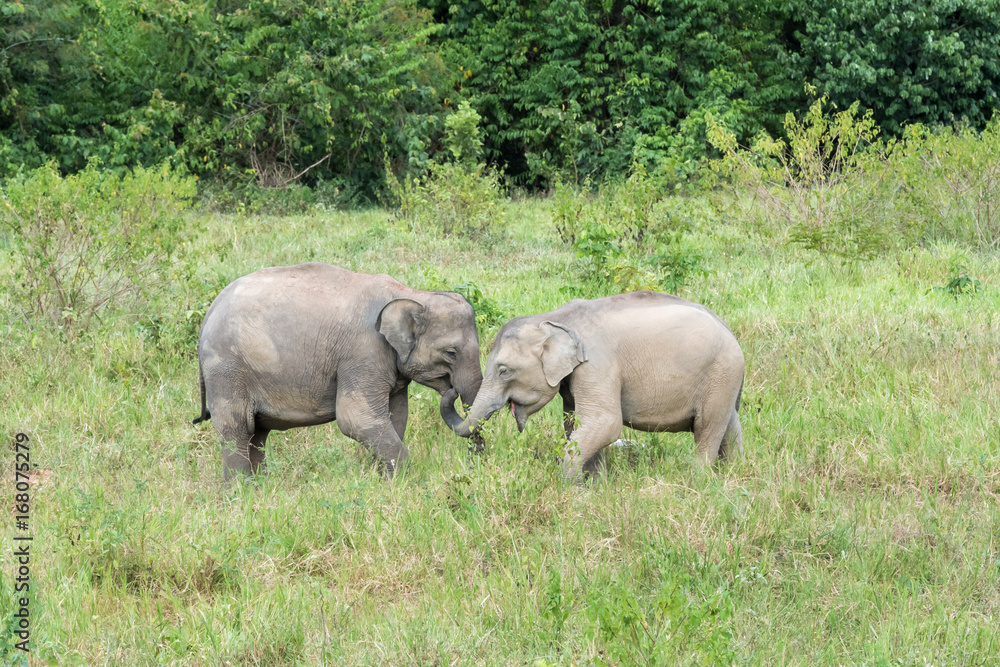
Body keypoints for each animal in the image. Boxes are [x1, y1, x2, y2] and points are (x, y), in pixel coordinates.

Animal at [193, 262, 483, 480]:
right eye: (451, 352)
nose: (474, 467)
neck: (411, 294)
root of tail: (210, 310)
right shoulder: (362, 353)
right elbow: (356, 418)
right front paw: (401, 483)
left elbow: (396, 417)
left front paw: (382, 481)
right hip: (226, 368)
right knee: (238, 428)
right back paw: (240, 494)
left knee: (258, 433)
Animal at [441, 291, 744, 479]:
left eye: (504, 371)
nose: (451, 388)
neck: (555, 318)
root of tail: (729, 330)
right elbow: (576, 424)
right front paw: (595, 486)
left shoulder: (597, 365)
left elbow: (604, 422)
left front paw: (568, 488)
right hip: (724, 380)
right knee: (729, 426)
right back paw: (732, 474)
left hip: (720, 373)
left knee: (707, 429)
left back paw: (698, 480)